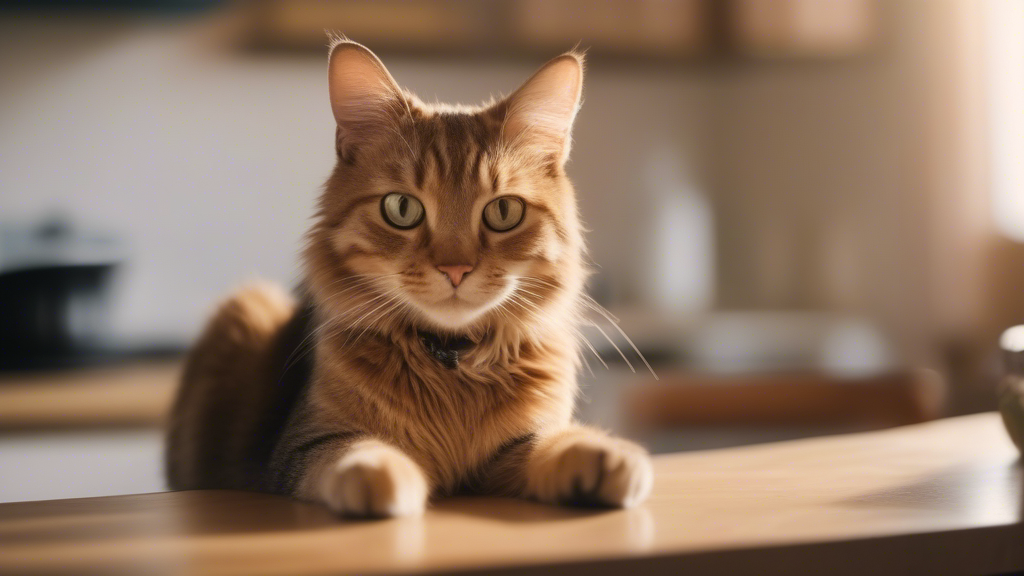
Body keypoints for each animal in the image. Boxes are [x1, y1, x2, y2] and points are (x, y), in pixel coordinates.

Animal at [163, 39, 651, 516]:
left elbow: (553, 442)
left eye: (503, 212)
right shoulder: (303, 443)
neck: (452, 364)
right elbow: (351, 448)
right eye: (401, 209)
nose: (456, 269)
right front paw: (379, 471)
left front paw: (604, 456)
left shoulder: (510, 450)